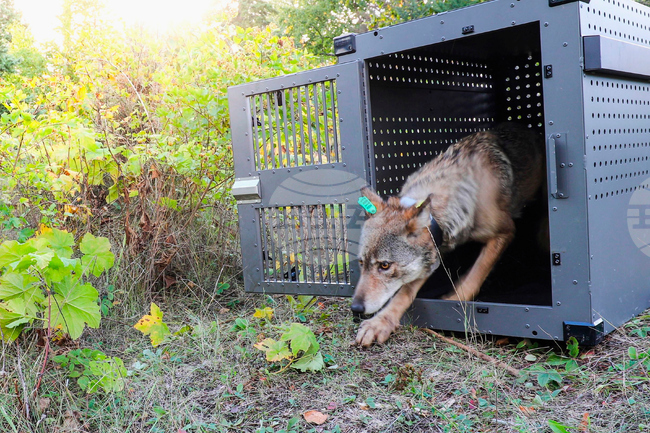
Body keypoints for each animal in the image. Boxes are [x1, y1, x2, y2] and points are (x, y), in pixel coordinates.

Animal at [352, 123, 545, 347]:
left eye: (384, 265)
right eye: (361, 263)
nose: (355, 308)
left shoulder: (505, 231)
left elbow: (476, 273)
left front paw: (454, 300)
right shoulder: (434, 252)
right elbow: (404, 292)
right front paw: (380, 323)